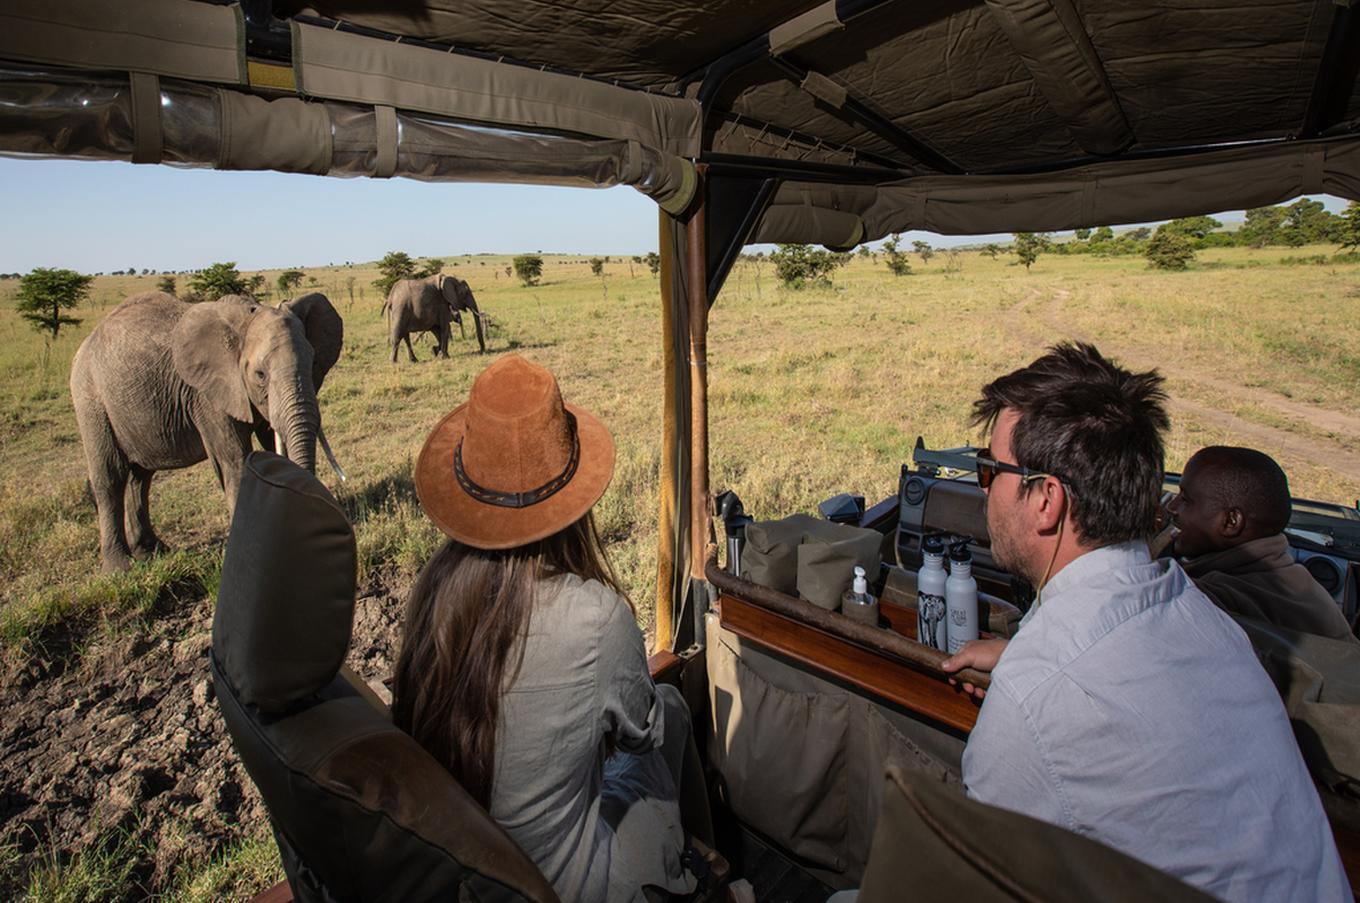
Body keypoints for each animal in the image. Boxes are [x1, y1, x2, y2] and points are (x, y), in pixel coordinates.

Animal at [69, 291, 348, 571]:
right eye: (260, 374)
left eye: (313, 363)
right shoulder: (208, 395)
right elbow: (235, 459)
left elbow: (274, 447)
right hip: (90, 399)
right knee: (110, 477)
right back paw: (120, 568)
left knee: (141, 476)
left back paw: (151, 551)